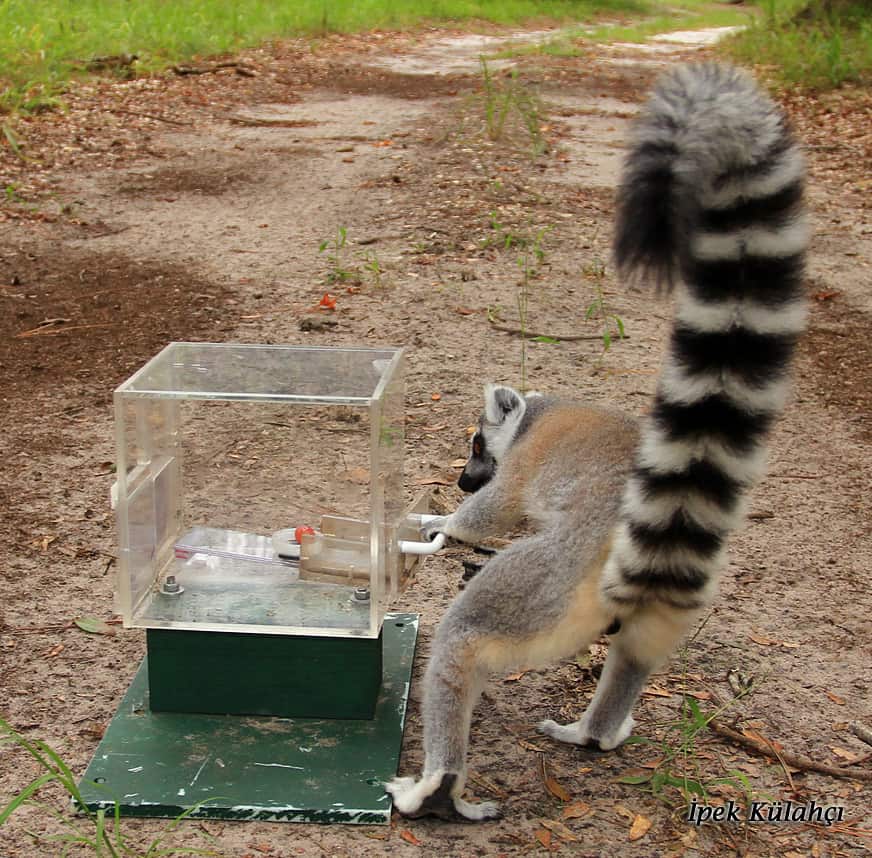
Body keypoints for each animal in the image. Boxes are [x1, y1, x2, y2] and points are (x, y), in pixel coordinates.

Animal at [386, 62, 808, 821]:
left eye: (477, 447)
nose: (459, 477)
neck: (542, 412)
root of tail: (660, 534)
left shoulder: (523, 468)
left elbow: (492, 514)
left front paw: (440, 523)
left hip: (547, 587)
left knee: (463, 638)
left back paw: (439, 785)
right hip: (666, 604)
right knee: (637, 653)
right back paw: (594, 733)